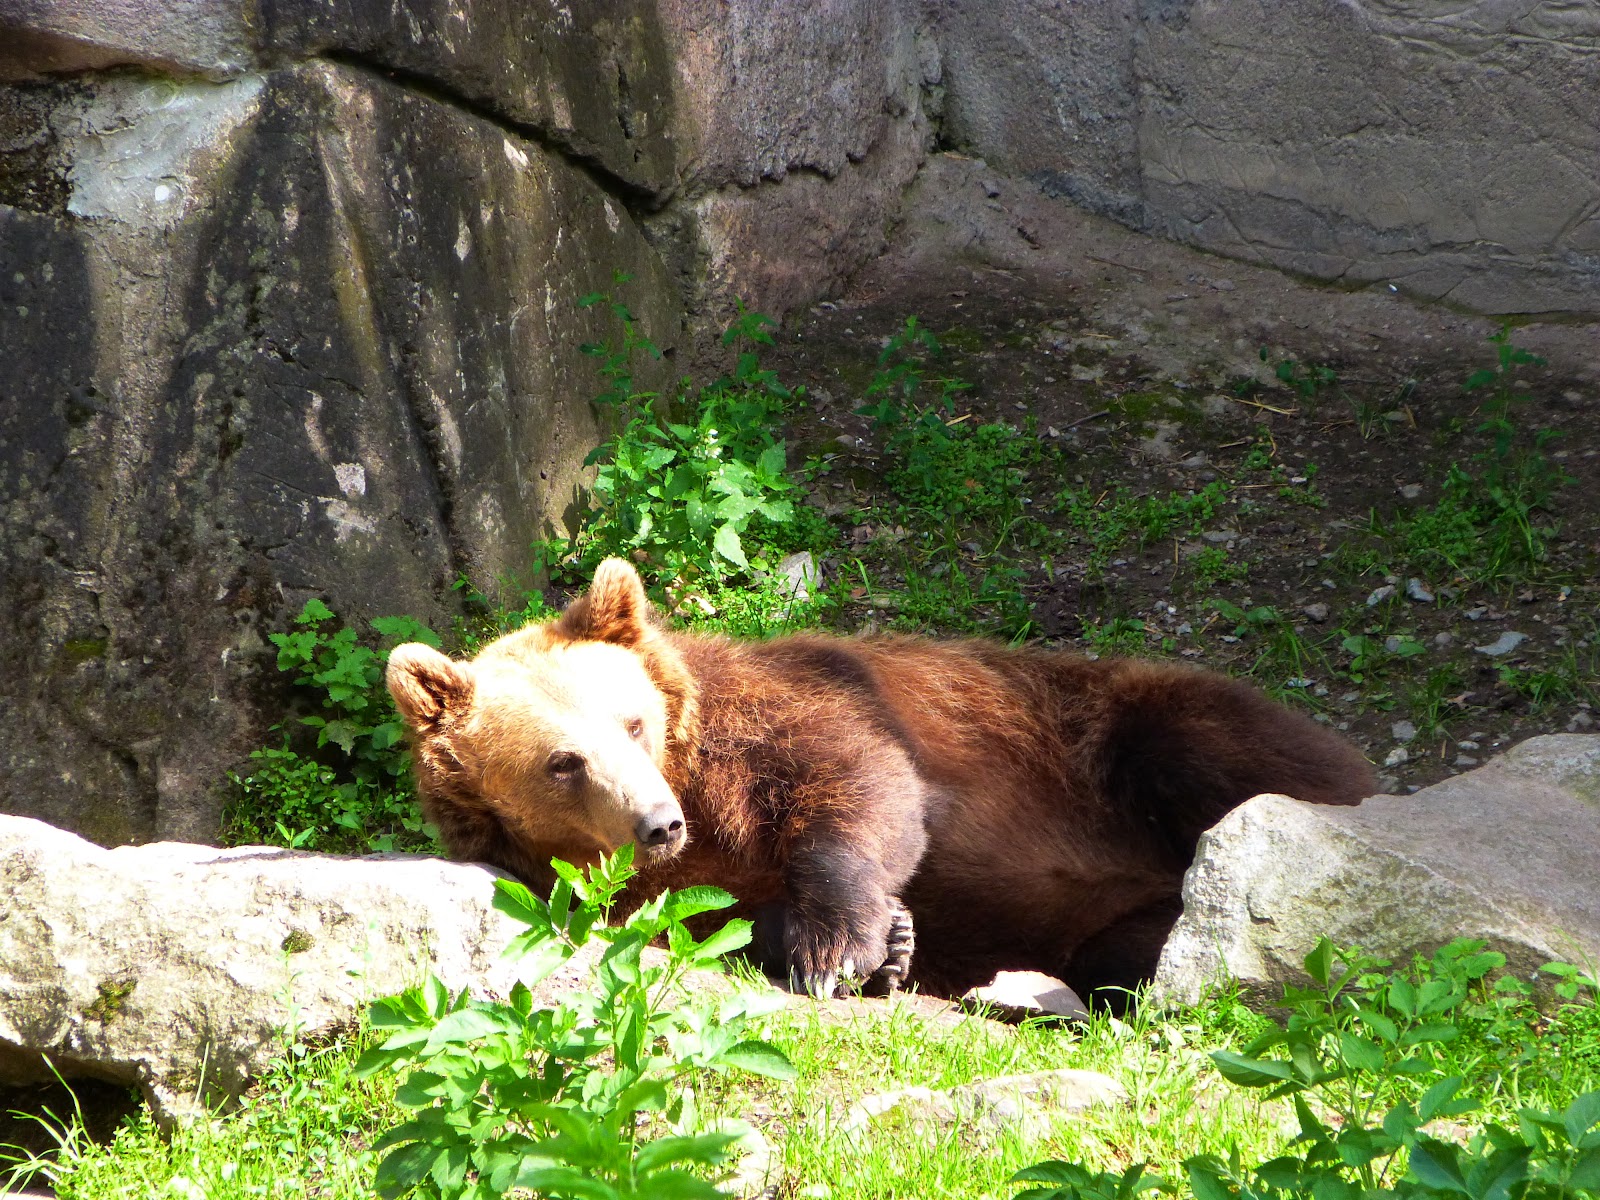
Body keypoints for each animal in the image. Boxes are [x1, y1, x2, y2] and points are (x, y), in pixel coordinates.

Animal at [390, 563, 1376, 1004]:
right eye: (563, 762)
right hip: (1112, 917)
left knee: (1212, 756)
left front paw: (844, 941)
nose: (658, 822)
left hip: (1104, 729)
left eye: (630, 722)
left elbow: (856, 779)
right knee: (1124, 955)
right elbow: (717, 926)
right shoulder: (644, 895)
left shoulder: (788, 712)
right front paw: (887, 944)